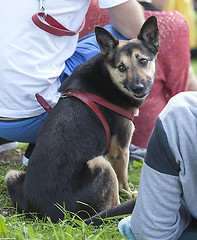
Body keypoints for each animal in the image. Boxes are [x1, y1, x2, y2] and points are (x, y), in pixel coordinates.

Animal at [5, 16, 159, 223]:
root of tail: (57, 217)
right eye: (121, 67)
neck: (107, 76)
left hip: (11, 176)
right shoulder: (119, 150)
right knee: (110, 207)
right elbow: (123, 180)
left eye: (143, 61)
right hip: (101, 164)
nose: (138, 88)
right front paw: (129, 194)